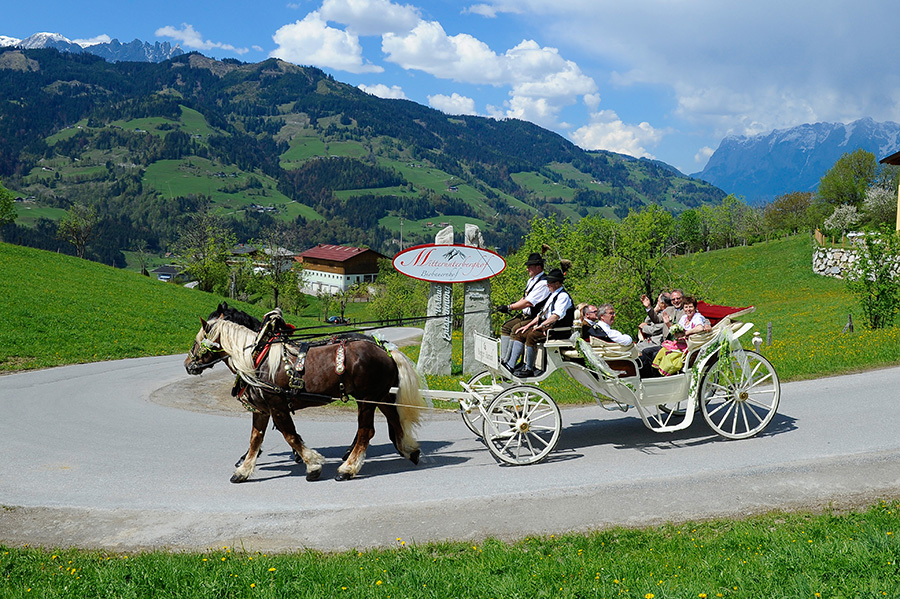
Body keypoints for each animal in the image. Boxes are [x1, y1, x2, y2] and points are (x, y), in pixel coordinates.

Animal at [184, 303, 428, 482]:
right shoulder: (262, 410)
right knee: (394, 422)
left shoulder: (277, 406)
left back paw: (348, 468)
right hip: (381, 396)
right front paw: (243, 470)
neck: (256, 358)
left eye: (198, 341)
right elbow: (256, 438)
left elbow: (290, 436)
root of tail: (385, 349)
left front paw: (312, 465)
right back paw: (410, 450)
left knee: (366, 431)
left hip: (367, 399)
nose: (188, 364)